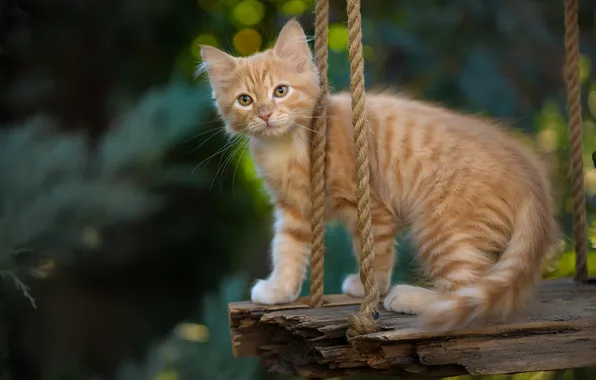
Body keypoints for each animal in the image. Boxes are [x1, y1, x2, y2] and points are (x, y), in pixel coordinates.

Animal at [199, 19, 560, 332]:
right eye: (245, 100)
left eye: (280, 91)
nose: (266, 114)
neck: (287, 146)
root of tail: (533, 180)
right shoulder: (295, 209)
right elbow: (287, 247)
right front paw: (280, 289)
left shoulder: (371, 205)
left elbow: (374, 253)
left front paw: (367, 287)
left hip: (442, 222)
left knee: (466, 285)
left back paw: (412, 298)